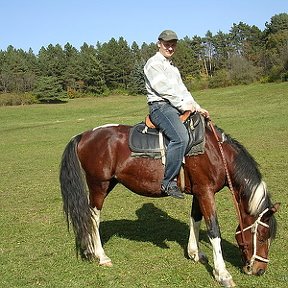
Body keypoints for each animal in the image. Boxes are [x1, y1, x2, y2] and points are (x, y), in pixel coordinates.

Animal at [60, 115, 280, 288]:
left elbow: (195, 220)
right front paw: (222, 274)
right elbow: (213, 230)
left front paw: (195, 253)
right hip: (99, 184)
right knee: (92, 217)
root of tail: (84, 135)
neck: (215, 152)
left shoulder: (199, 192)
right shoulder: (206, 191)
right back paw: (101, 256)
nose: (260, 270)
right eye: (262, 236)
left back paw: (90, 249)